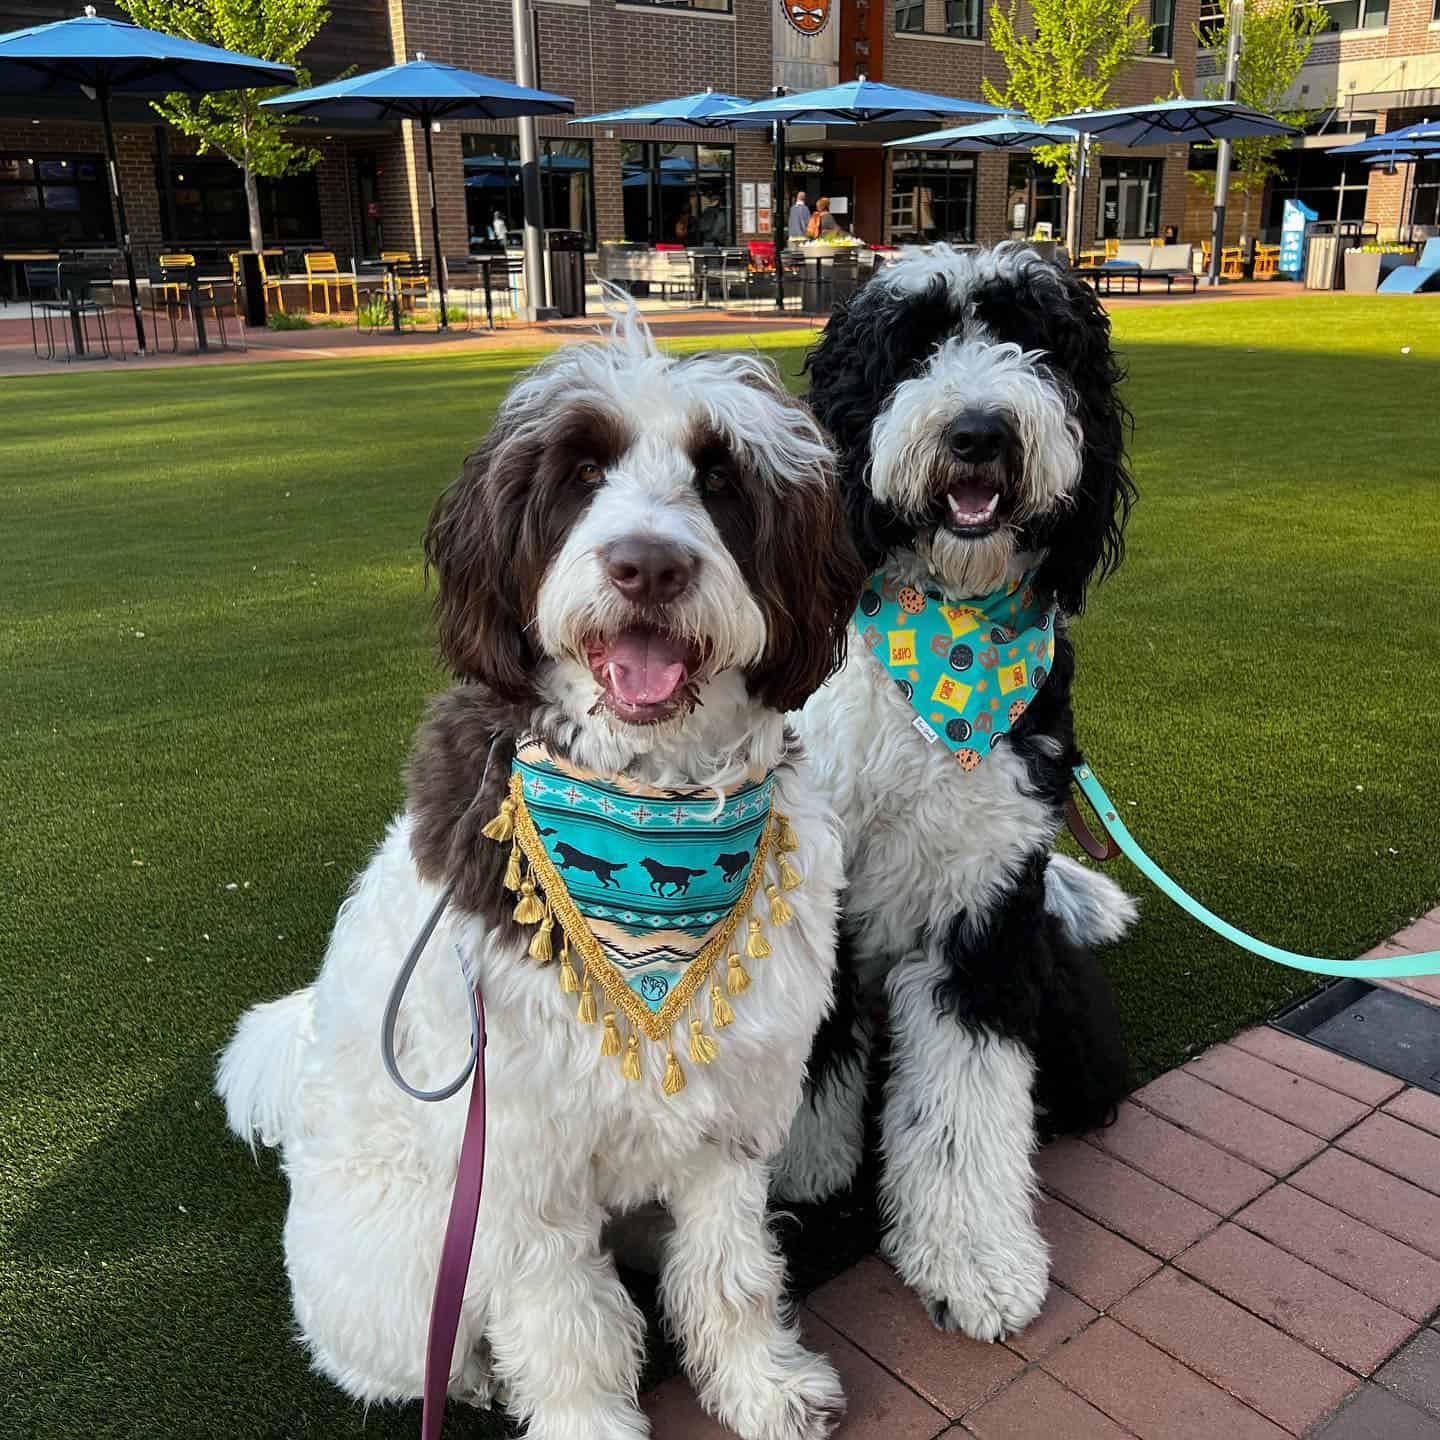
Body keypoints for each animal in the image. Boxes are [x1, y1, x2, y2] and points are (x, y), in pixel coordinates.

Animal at [783, 244, 1140, 1336]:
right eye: (911, 346)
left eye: (1039, 344)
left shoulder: (984, 917)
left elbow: (965, 1102)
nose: (980, 431)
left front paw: (974, 1258)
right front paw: (807, 1174)